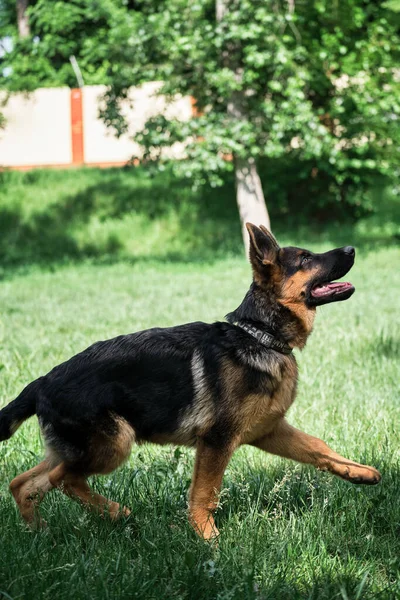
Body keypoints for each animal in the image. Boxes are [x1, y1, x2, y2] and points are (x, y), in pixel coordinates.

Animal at [0, 224, 382, 540]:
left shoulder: (268, 431)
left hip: (78, 447)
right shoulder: (216, 441)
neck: (259, 335)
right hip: (115, 442)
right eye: (305, 258)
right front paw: (208, 539)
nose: (351, 248)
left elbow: (318, 446)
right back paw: (115, 513)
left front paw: (358, 472)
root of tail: (42, 382)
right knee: (63, 478)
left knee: (23, 483)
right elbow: (205, 493)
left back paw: (39, 532)